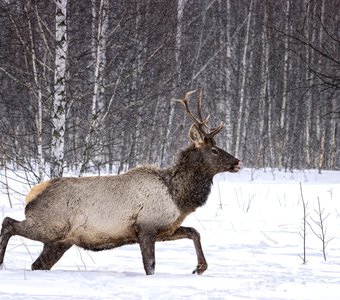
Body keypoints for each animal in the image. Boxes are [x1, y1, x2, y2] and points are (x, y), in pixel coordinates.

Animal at [0, 90, 242, 276]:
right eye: (214, 150)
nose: (238, 162)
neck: (178, 197)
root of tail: (32, 195)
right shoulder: (146, 227)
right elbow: (150, 266)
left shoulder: (164, 228)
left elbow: (194, 231)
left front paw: (199, 268)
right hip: (50, 226)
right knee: (9, 223)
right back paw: (1, 263)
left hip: (59, 242)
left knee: (37, 264)